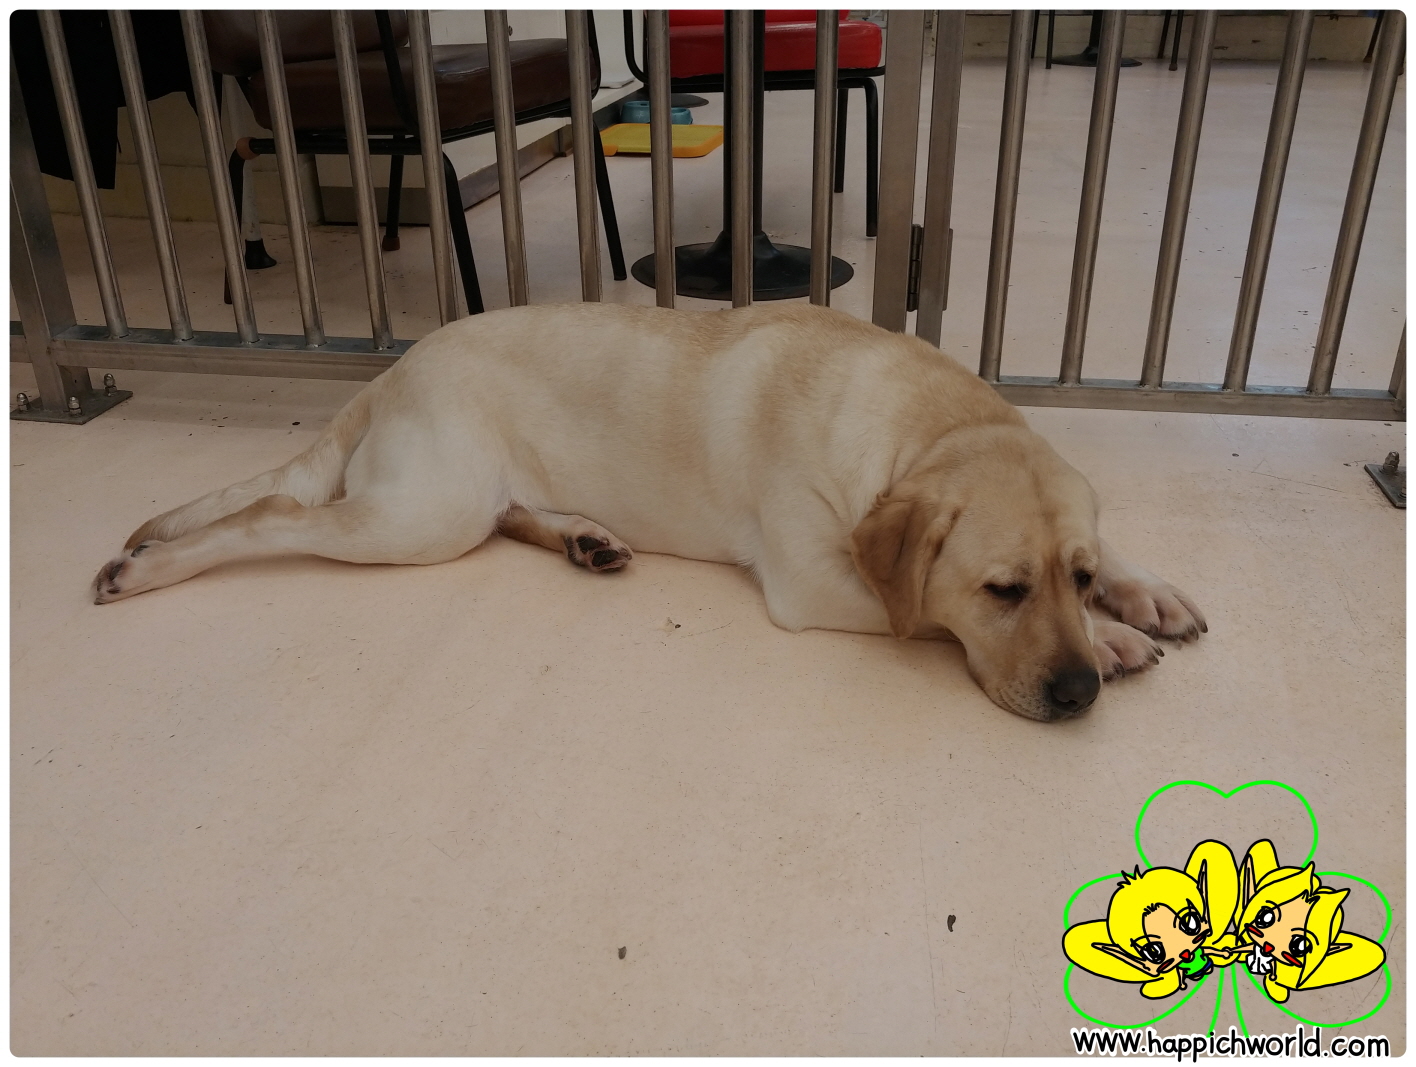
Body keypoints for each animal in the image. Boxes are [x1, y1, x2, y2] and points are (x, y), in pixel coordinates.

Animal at [94, 303, 1205, 720]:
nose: (1077, 692)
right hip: (416, 516)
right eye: (1002, 589)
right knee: (266, 518)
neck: (920, 427)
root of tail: (392, 369)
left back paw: (584, 537)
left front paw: (1141, 595)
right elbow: (921, 608)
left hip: (464, 504)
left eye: (1076, 570)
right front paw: (1111, 641)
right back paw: (145, 565)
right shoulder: (813, 582)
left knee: (517, 515)